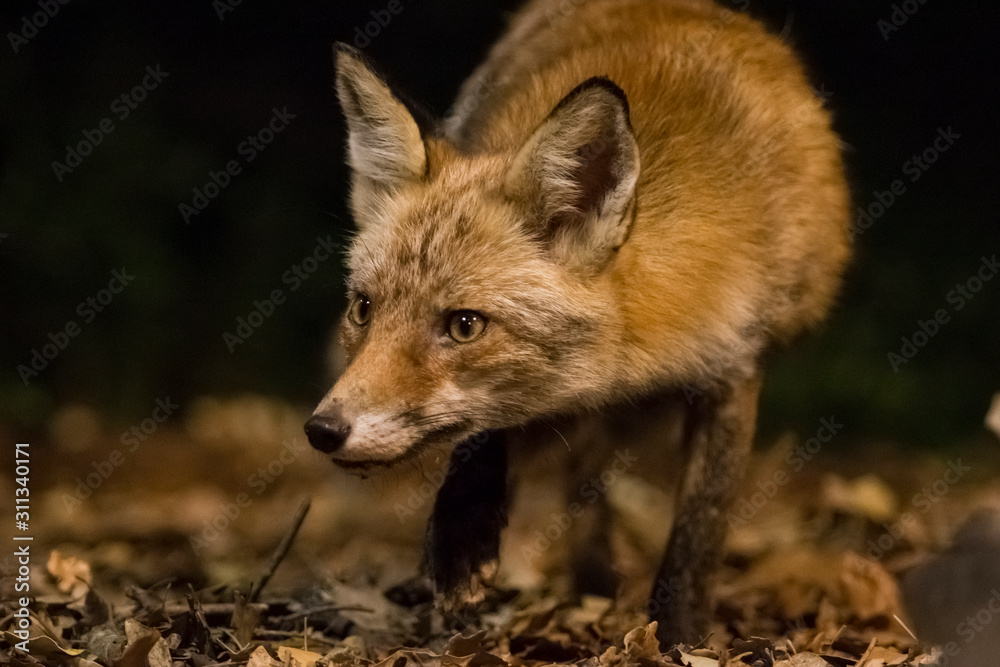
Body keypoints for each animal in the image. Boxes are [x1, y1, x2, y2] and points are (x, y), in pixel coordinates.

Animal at [302, 0, 844, 648]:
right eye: (363, 309)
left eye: (464, 326)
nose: (323, 430)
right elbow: (488, 428)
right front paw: (460, 539)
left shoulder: (736, 367)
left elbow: (700, 526)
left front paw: (681, 635)